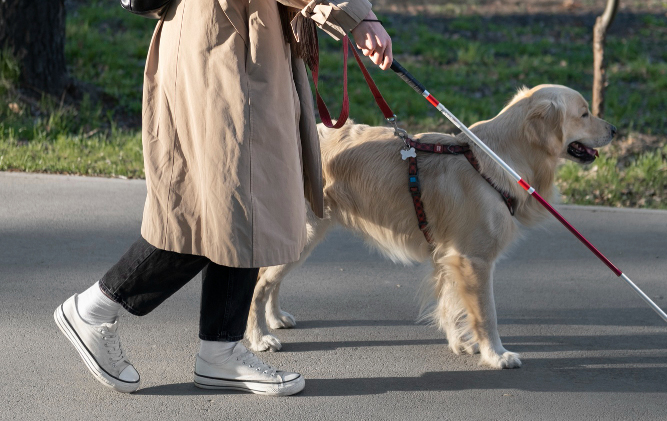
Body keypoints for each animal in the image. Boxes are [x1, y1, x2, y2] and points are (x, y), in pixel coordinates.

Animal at [245, 84, 616, 368]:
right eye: (585, 113)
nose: (615, 130)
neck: (496, 160)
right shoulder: (473, 259)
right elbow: (486, 314)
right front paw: (496, 355)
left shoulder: (450, 256)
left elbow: (451, 304)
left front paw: (460, 343)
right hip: (306, 233)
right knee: (259, 283)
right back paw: (259, 337)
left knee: (271, 279)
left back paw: (275, 318)